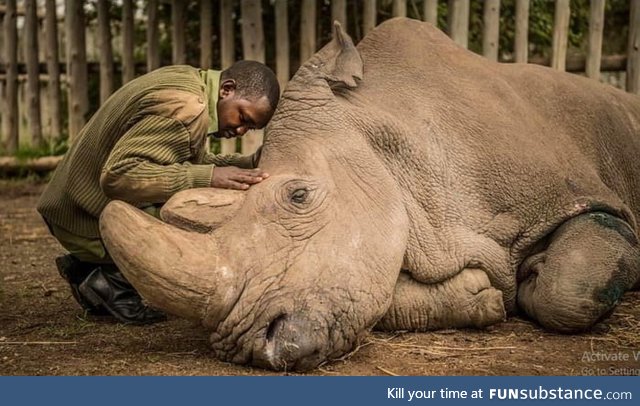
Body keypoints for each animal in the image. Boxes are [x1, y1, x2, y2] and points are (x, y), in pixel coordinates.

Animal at [99, 17, 640, 370]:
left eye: (299, 196)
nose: (252, 347)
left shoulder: (581, 198)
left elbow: (568, 288)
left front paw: (532, 278)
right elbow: (377, 294)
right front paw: (482, 296)